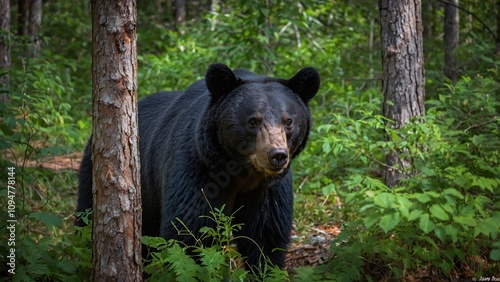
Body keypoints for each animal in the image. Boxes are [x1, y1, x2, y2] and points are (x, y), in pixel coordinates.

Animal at [77, 63, 320, 268]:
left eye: (288, 121)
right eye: (253, 121)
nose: (277, 155)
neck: (240, 172)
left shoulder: (266, 189)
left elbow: (265, 235)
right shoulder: (197, 168)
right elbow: (188, 231)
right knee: (87, 216)